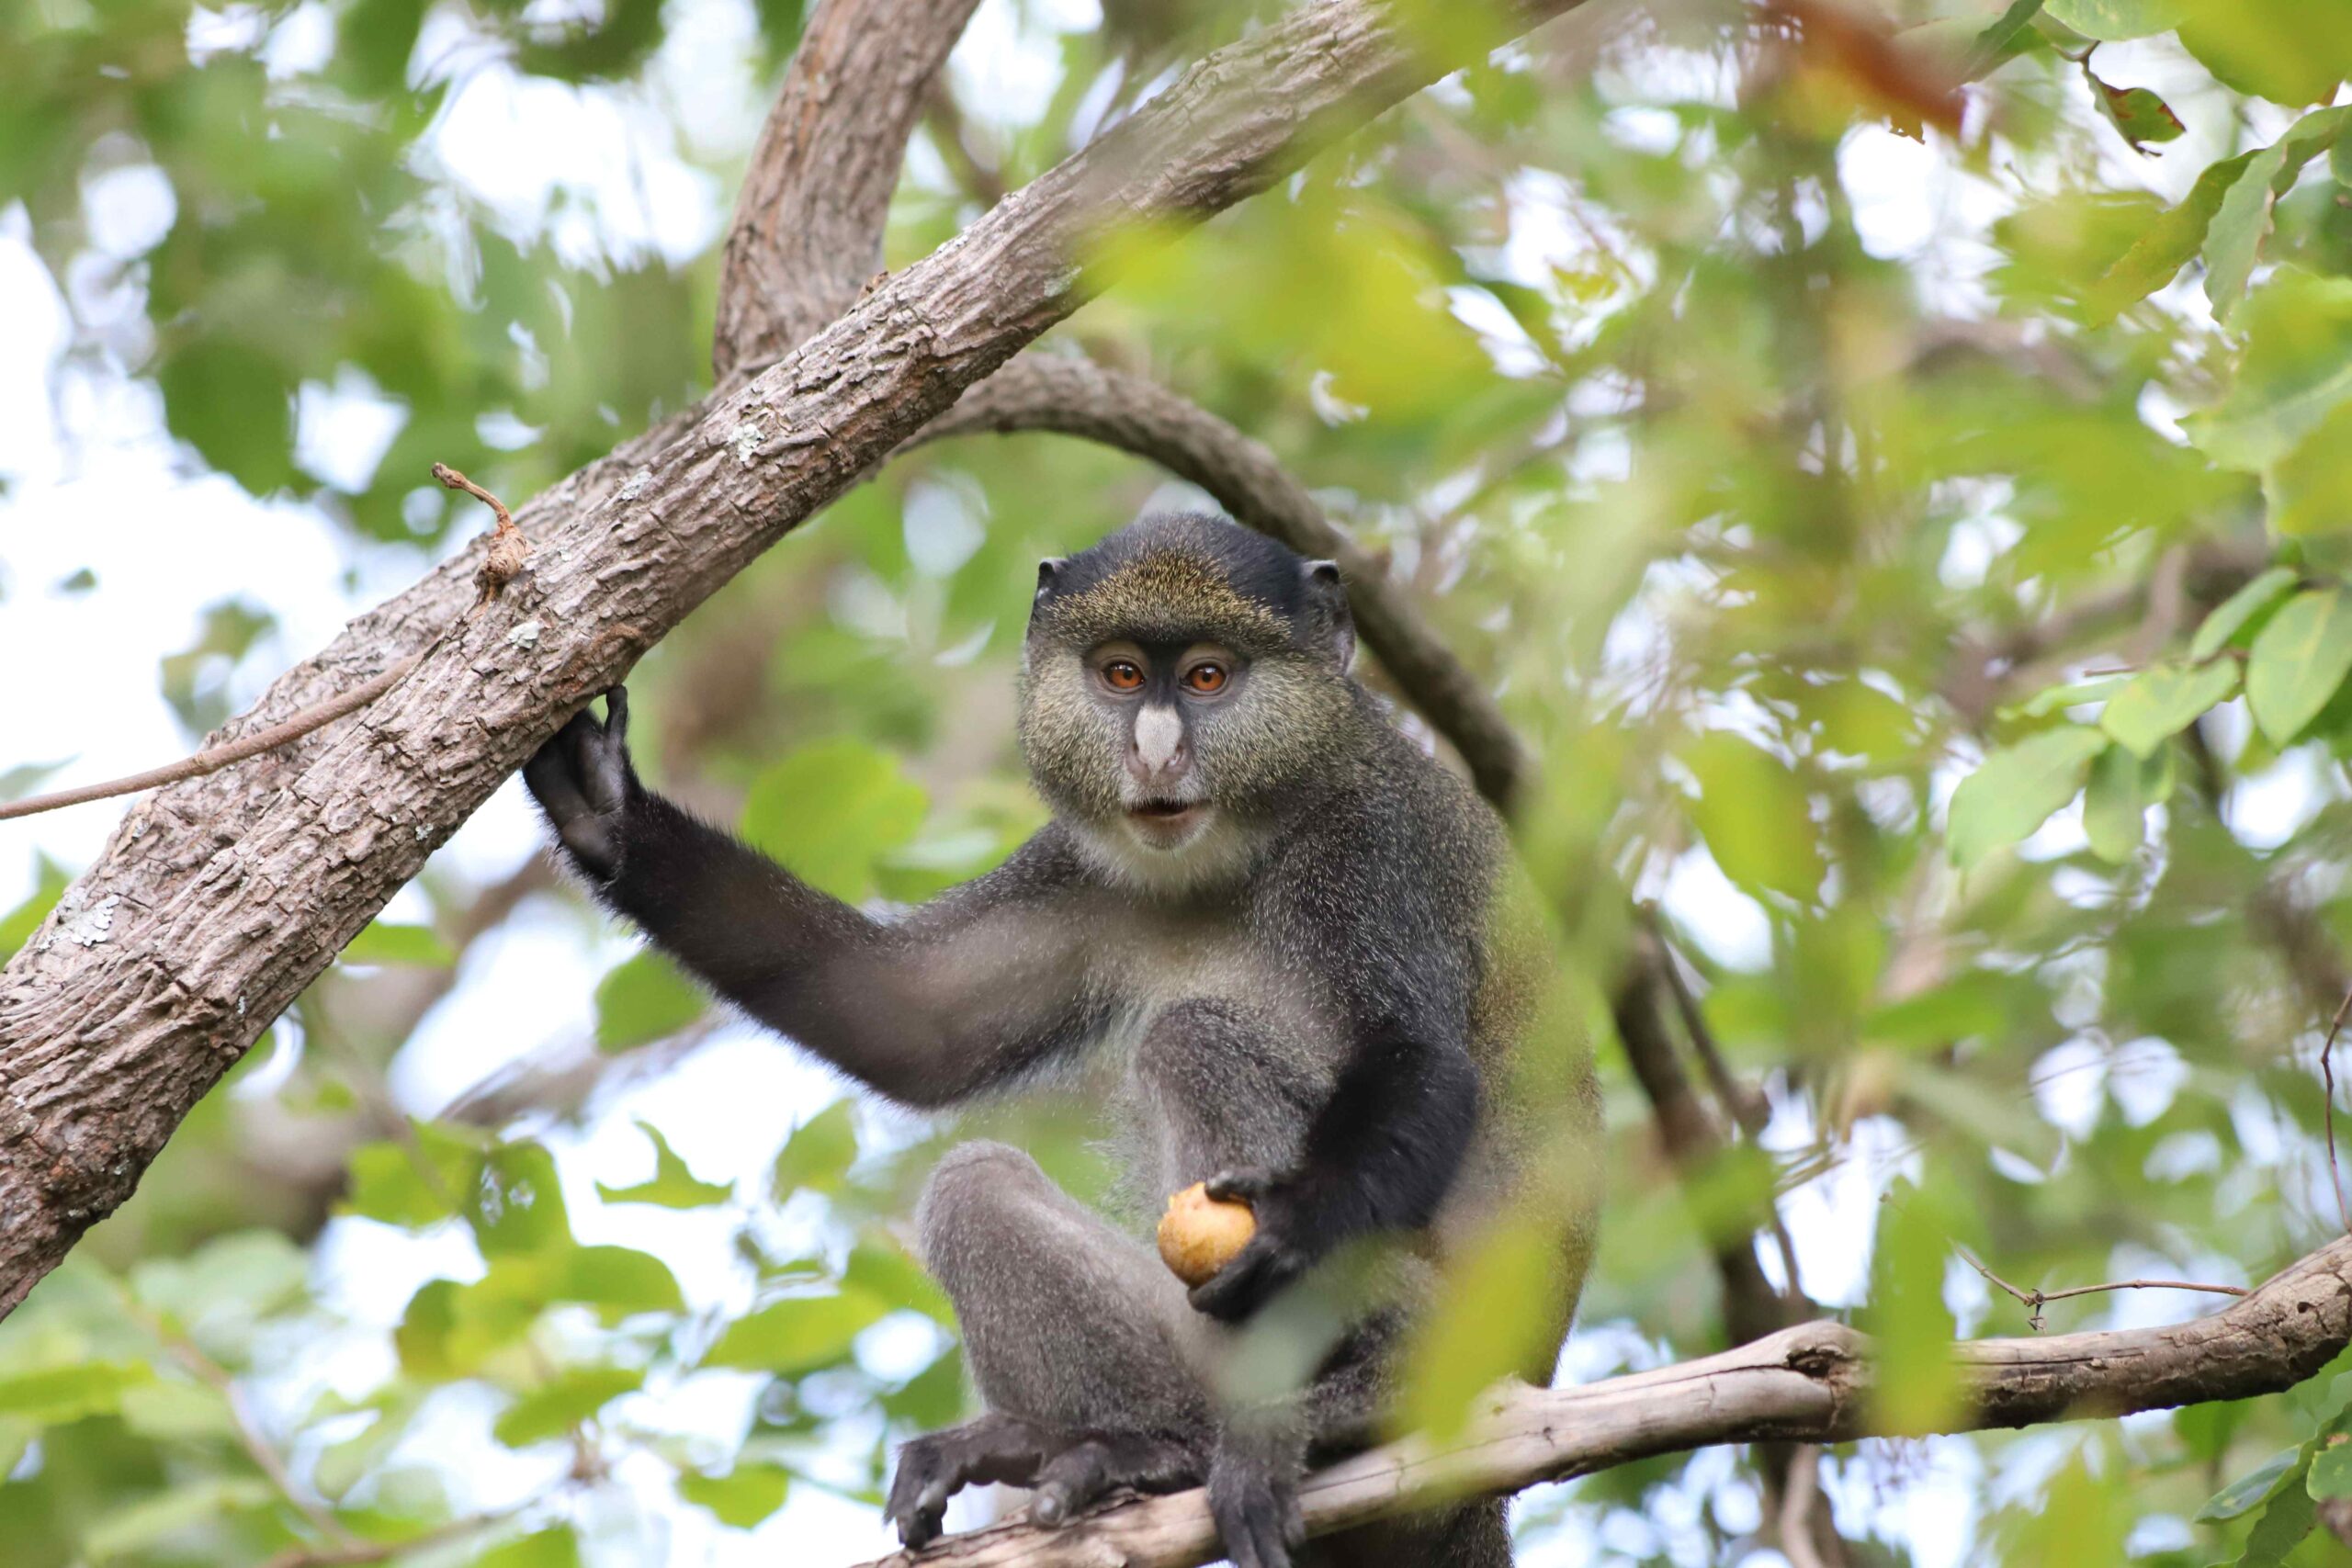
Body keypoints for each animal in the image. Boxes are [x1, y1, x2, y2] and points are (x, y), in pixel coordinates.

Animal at [522, 512, 1599, 1568]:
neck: (1251, 839)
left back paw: (1362, 1395)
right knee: (975, 1187)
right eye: (1120, 674)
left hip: (1450, 1341)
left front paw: (1298, 1221)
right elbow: (909, 1017)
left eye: (1207, 677)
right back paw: (1142, 1450)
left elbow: (1415, 1059)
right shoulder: (1081, 865)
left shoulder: (1375, 848)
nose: (1155, 754)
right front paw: (604, 807)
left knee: (1191, 1040)